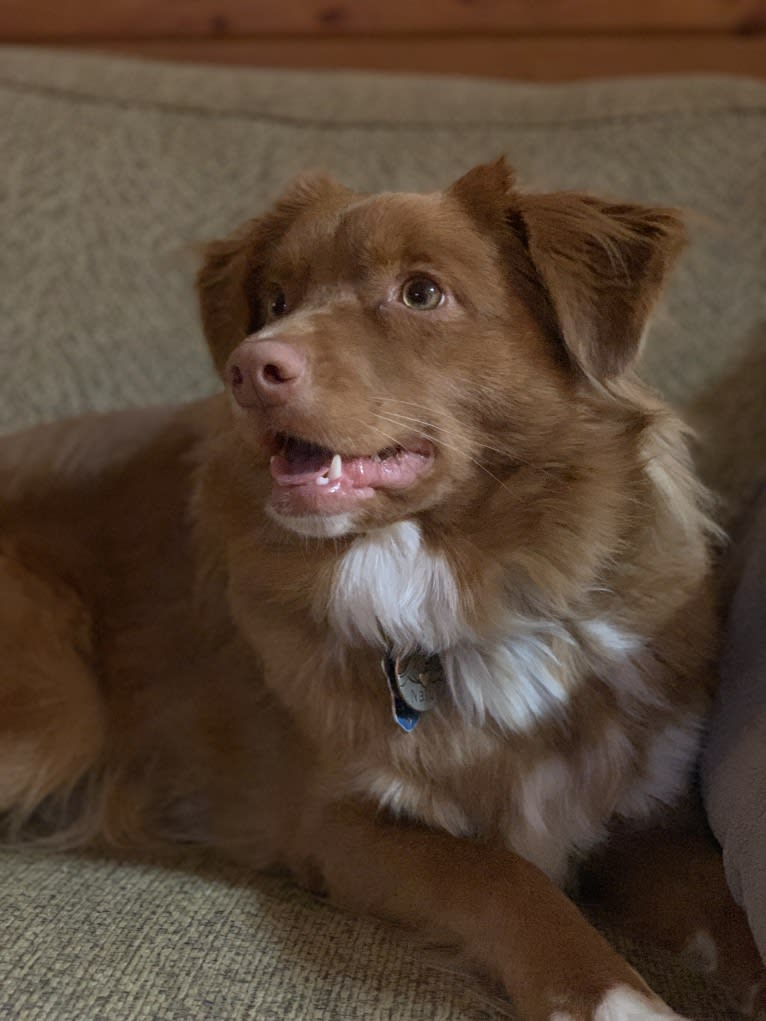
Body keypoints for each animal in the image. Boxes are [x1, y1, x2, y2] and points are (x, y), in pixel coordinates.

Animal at [0, 161, 763, 1021]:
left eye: (421, 292)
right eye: (275, 300)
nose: (248, 371)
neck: (478, 581)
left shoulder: (642, 821)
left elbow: (728, 900)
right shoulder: (344, 823)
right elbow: (503, 875)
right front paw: (623, 1001)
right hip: (57, 712)